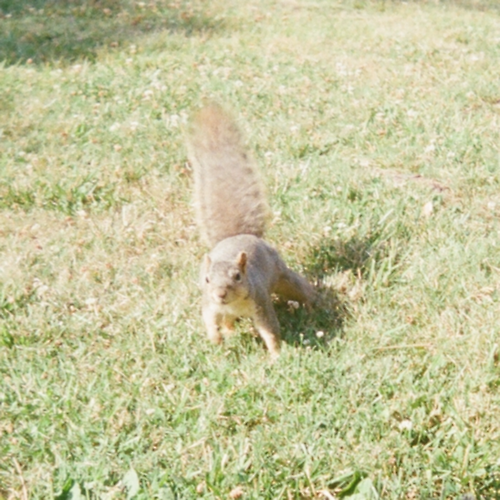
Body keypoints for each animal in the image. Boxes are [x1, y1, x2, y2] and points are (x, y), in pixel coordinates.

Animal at [186, 103, 314, 358]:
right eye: (206, 279)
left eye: (237, 276)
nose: (220, 294)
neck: (234, 303)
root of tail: (238, 236)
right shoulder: (210, 306)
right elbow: (209, 323)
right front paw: (216, 340)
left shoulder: (261, 304)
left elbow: (270, 330)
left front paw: (275, 355)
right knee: (228, 321)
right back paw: (229, 333)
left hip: (282, 276)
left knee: (299, 288)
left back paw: (317, 304)